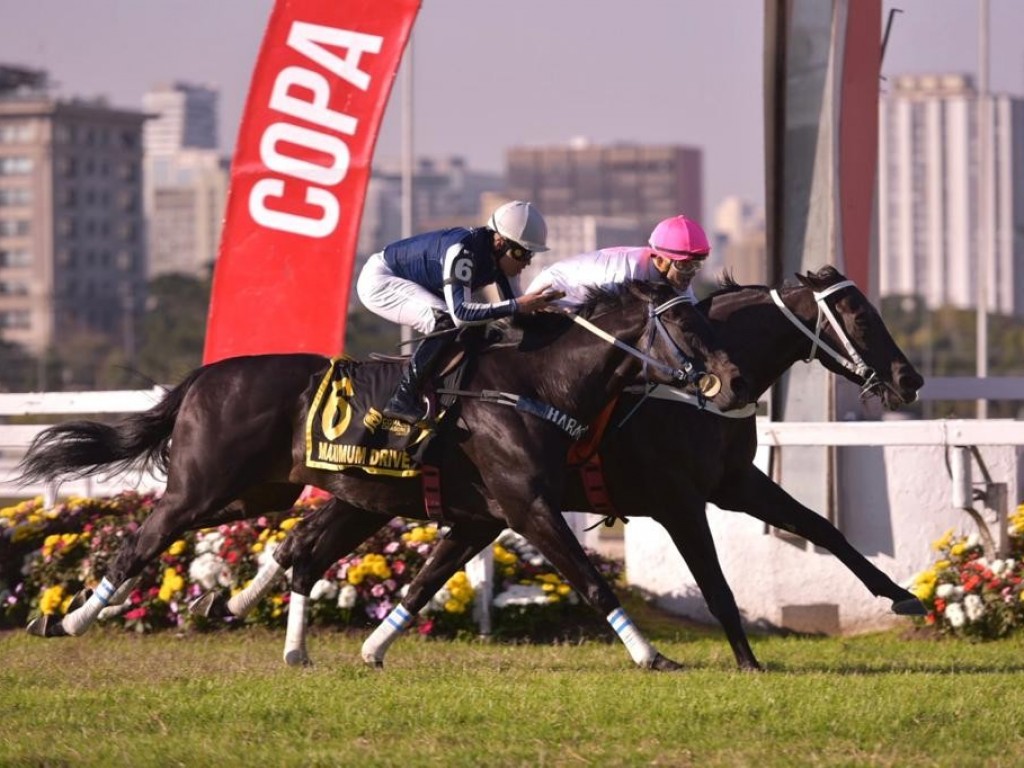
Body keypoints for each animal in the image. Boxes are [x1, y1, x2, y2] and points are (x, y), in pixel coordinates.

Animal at [19, 284, 749, 671]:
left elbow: (422, 584)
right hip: (200, 486)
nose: (732, 378)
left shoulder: (483, 515)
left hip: (255, 490)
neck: (534, 384)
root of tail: (202, 377)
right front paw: (651, 656)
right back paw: (71, 619)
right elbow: (594, 581)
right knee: (142, 542)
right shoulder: (528, 506)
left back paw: (238, 617)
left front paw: (372, 647)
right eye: (686, 323)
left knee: (283, 547)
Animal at [211, 268, 925, 671]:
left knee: (301, 546)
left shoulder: (732, 483)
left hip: (370, 496)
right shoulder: (678, 501)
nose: (909, 379)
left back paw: (248, 608)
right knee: (301, 547)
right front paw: (748, 660)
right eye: (860, 316)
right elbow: (716, 584)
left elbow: (822, 528)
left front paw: (903, 595)